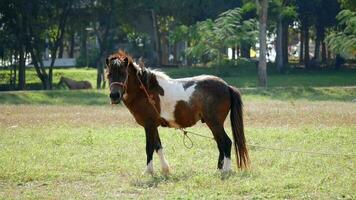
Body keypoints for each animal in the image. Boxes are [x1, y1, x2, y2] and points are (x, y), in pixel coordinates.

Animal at [107, 50, 249, 175]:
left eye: (123, 74)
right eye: (109, 75)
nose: (114, 96)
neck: (146, 91)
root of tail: (227, 86)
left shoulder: (149, 125)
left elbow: (149, 148)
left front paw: (148, 171)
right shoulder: (153, 126)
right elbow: (158, 147)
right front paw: (165, 170)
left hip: (215, 123)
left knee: (226, 143)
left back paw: (226, 170)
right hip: (213, 124)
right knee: (220, 144)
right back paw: (219, 169)